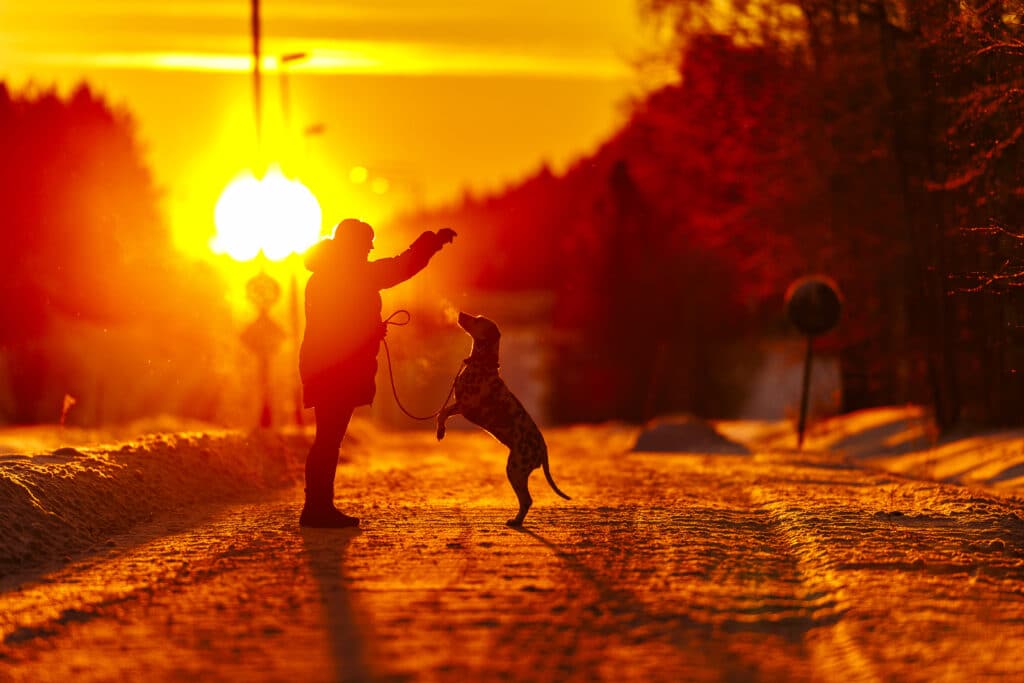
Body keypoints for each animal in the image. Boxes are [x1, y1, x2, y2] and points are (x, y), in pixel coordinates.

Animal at [436, 313, 573, 528]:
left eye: (478, 320)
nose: (460, 314)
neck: (482, 364)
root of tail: (542, 448)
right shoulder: (460, 405)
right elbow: (442, 413)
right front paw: (440, 430)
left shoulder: (466, 406)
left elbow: (442, 413)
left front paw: (441, 430)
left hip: (515, 469)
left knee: (526, 500)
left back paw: (515, 521)